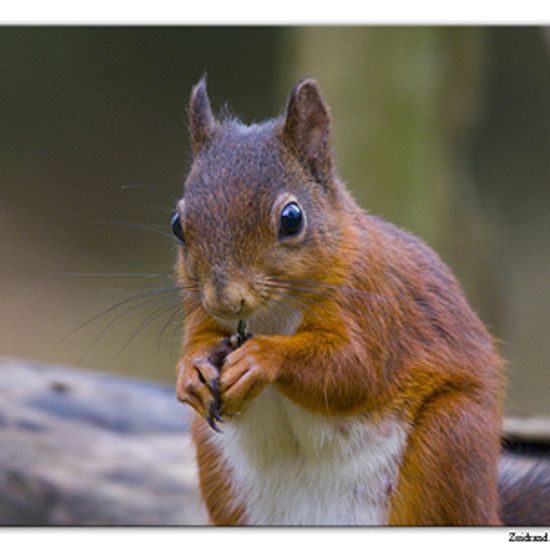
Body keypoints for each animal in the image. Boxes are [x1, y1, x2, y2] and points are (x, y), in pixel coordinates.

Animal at [175, 76, 544, 528]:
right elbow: (198, 340)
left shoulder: (373, 305)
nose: (226, 299)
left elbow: (353, 369)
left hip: (449, 443)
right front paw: (190, 371)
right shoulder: (200, 312)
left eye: (292, 218)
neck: (272, 315)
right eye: (177, 225)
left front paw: (262, 357)